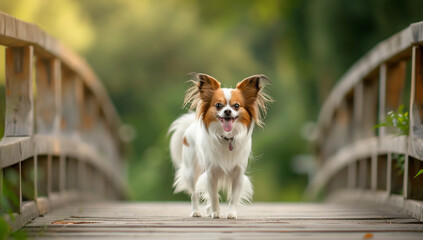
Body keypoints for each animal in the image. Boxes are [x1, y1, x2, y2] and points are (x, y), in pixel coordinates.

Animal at [168, 73, 272, 219]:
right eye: (218, 105)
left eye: (236, 106)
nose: (227, 111)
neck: (227, 138)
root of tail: (191, 125)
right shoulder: (211, 173)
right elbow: (213, 196)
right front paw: (216, 213)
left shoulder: (238, 174)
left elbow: (233, 197)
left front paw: (231, 213)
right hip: (191, 172)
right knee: (194, 193)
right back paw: (196, 211)